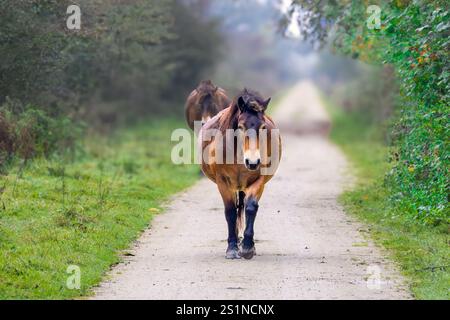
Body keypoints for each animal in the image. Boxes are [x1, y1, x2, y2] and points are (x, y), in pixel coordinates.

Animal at [200, 89, 282, 258]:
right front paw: (232, 248)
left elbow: (250, 207)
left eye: (263, 127)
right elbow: (230, 211)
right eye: (241, 126)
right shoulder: (223, 182)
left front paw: (248, 247)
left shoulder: (259, 180)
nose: (252, 162)